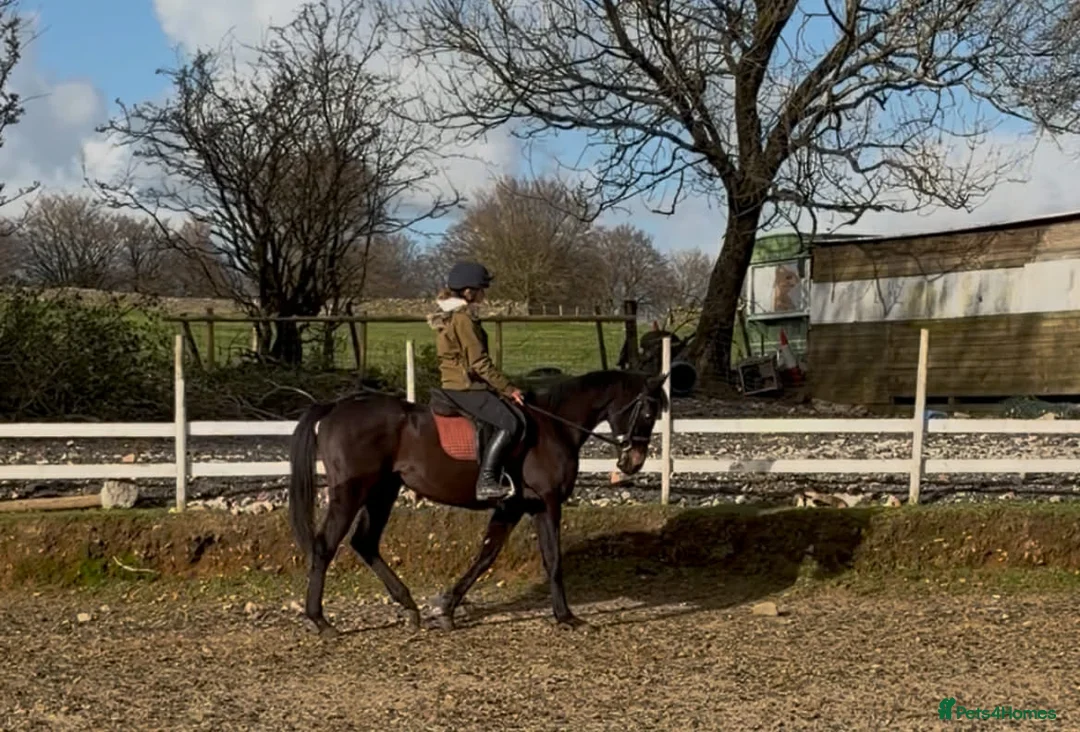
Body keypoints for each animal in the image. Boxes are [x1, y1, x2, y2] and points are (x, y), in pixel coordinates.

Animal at [287, 368, 669, 636]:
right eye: (649, 414)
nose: (633, 463)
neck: (554, 426)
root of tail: (335, 407)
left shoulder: (516, 506)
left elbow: (488, 555)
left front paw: (446, 608)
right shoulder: (547, 502)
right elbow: (553, 559)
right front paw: (567, 617)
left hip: (383, 490)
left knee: (365, 542)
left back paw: (409, 607)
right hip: (351, 492)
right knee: (325, 545)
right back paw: (320, 621)